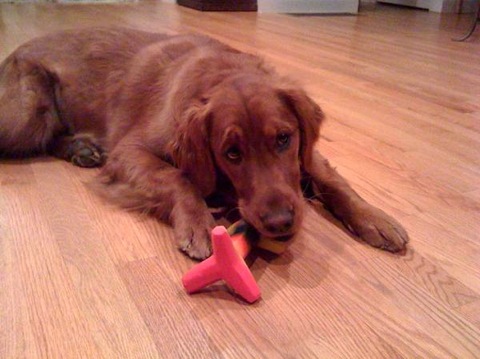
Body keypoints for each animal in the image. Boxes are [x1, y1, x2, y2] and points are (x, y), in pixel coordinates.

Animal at [0, 28, 408, 258]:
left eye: (283, 138)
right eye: (232, 153)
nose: (280, 222)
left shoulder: (304, 154)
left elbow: (330, 179)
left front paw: (374, 218)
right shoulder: (129, 150)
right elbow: (177, 177)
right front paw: (197, 225)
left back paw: (80, 149)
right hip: (26, 115)